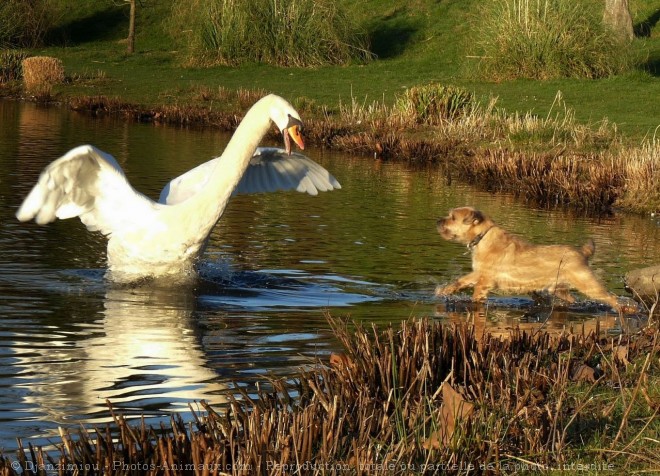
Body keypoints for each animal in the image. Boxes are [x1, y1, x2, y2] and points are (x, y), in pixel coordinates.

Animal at [436, 206, 620, 310]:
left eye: (453, 217)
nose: (438, 221)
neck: (483, 237)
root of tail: (582, 252)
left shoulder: (485, 279)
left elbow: (475, 294)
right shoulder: (479, 273)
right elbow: (460, 280)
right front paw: (444, 291)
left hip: (588, 284)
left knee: (612, 298)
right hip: (559, 289)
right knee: (572, 300)